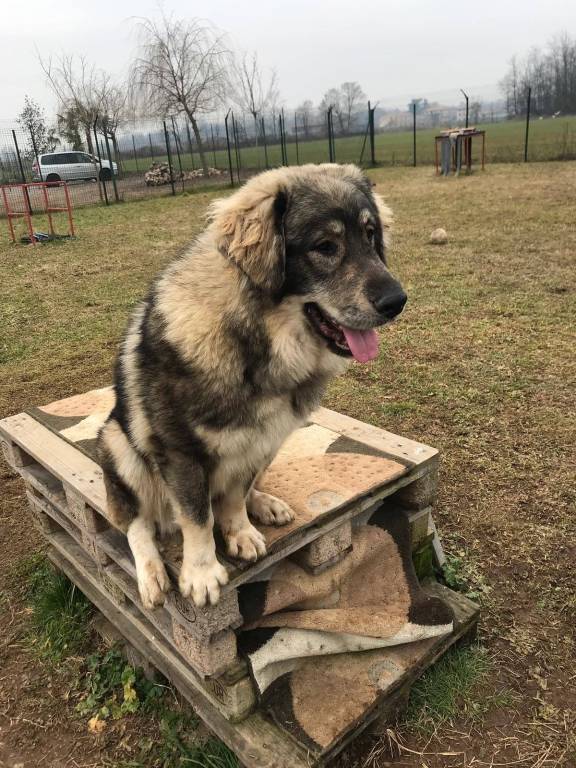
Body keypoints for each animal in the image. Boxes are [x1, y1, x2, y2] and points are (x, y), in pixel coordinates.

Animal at [97, 165, 404, 608]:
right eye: (325, 246)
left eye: (370, 235)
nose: (398, 301)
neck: (255, 342)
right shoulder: (181, 453)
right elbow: (196, 517)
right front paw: (201, 572)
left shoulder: (256, 442)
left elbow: (233, 496)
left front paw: (239, 530)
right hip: (118, 444)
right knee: (138, 524)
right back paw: (151, 573)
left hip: (272, 447)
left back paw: (265, 503)